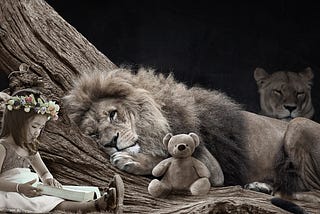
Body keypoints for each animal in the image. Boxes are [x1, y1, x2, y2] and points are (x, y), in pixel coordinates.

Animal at [63, 68, 320, 206]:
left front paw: (132, 160)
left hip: (297, 125)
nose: (111, 142)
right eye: (94, 134)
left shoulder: (213, 169)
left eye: (113, 113)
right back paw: (262, 186)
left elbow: (169, 159)